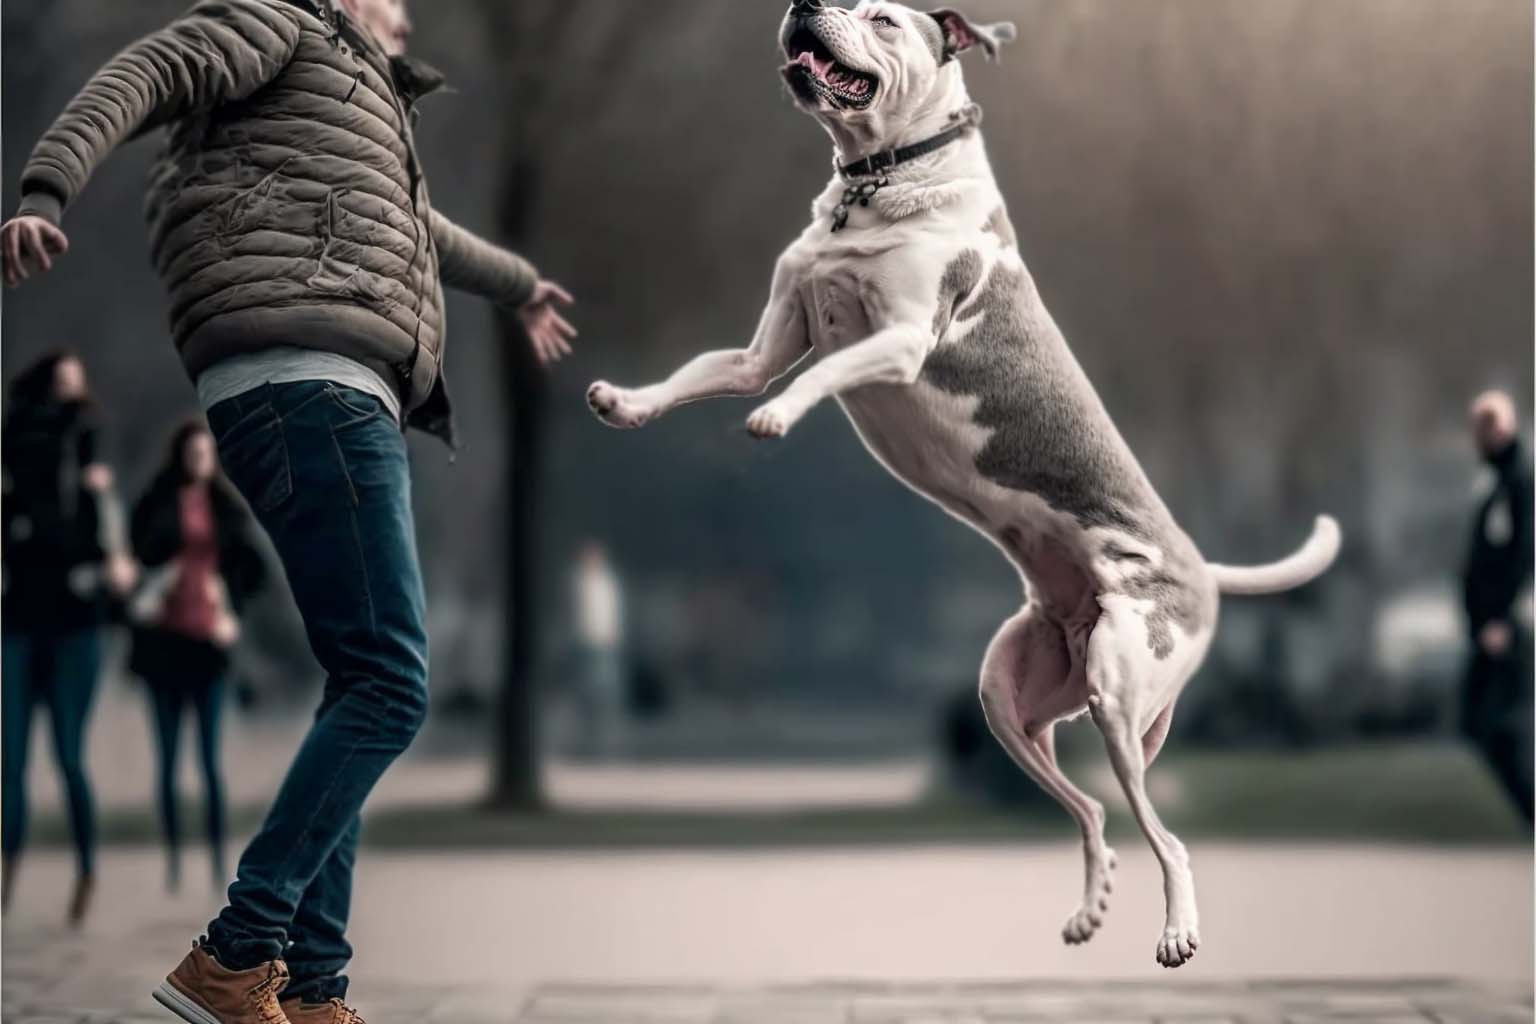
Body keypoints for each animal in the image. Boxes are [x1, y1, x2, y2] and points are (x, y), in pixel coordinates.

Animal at [586, 0, 1333, 970]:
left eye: (882, 16)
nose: (804, 6)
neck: (881, 177)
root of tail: (1200, 568)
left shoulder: (899, 339)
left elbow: (818, 377)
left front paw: (777, 420)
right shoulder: (767, 342)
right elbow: (698, 375)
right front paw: (624, 402)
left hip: (1121, 696)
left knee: (1165, 836)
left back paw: (1177, 933)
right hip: (1009, 698)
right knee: (1092, 812)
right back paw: (1090, 910)